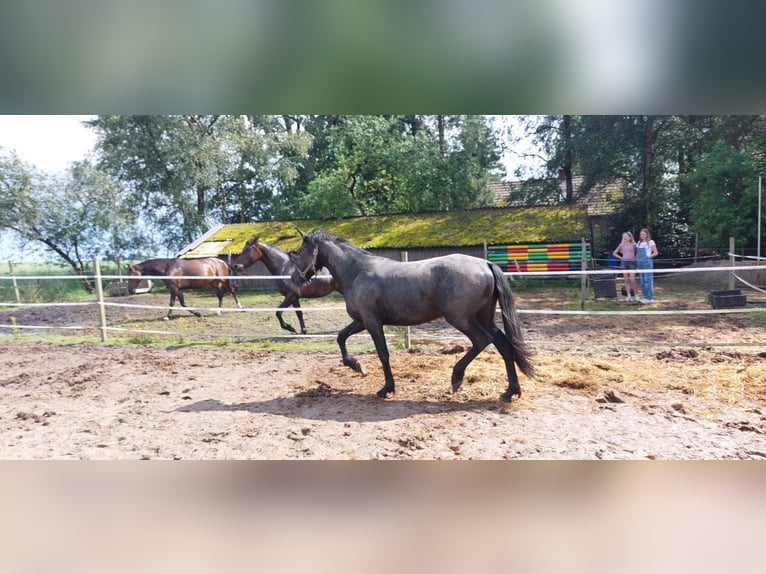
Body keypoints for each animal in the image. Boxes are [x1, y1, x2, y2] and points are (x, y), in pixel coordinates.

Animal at [292, 227, 536, 402]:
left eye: (299, 252)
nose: (295, 279)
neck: (358, 271)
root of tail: (485, 264)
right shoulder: (360, 321)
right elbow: (341, 337)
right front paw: (356, 365)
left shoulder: (372, 322)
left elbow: (383, 354)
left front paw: (386, 389)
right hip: (483, 317)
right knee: (503, 345)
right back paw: (509, 392)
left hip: (461, 319)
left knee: (482, 340)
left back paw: (456, 378)